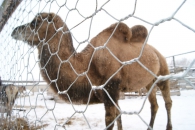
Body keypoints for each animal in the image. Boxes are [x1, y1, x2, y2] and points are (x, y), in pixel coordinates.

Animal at [11, 12, 172, 130]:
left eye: (35, 22)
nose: (14, 30)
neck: (87, 65)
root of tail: (157, 52)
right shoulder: (110, 93)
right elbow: (119, 116)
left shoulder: (111, 87)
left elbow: (110, 121)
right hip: (150, 82)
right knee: (154, 104)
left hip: (163, 72)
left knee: (167, 101)